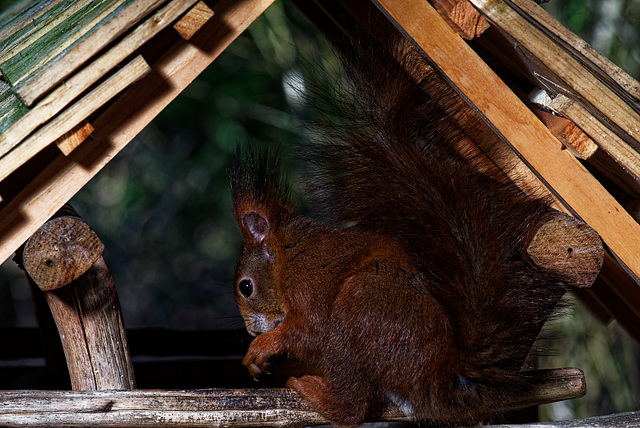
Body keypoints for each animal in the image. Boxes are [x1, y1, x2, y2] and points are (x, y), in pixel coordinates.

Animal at [228, 24, 568, 428]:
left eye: (246, 287)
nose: (251, 329)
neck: (288, 256)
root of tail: (437, 381)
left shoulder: (308, 285)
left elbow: (306, 330)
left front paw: (260, 347)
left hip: (360, 310)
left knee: (351, 407)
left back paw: (310, 390)